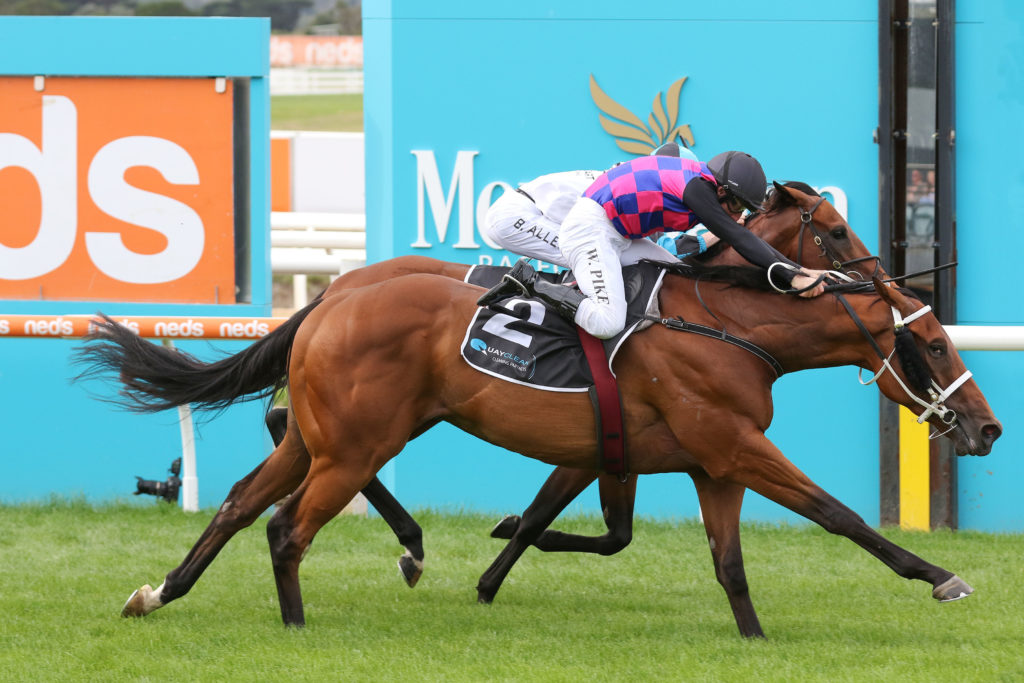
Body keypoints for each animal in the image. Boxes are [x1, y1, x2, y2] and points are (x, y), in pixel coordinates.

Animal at [77, 225, 999, 637]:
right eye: (934, 342)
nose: (987, 427)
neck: (724, 325)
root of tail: (331, 299)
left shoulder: (696, 461)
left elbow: (720, 559)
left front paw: (752, 635)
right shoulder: (733, 445)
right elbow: (836, 512)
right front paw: (941, 576)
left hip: (322, 438)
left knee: (240, 503)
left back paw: (159, 591)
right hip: (357, 443)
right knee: (285, 526)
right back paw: (309, 616)